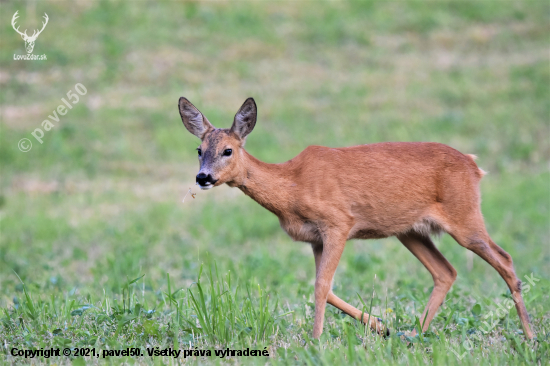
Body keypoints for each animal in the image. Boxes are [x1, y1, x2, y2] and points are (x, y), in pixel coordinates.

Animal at [179, 96, 536, 338]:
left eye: (227, 150)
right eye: (199, 150)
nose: (203, 177)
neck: (293, 186)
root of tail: (474, 164)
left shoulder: (338, 223)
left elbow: (322, 285)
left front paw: (315, 340)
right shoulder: (315, 239)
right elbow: (326, 287)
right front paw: (379, 325)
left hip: (464, 215)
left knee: (504, 260)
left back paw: (530, 336)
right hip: (410, 231)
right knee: (446, 271)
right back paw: (413, 334)